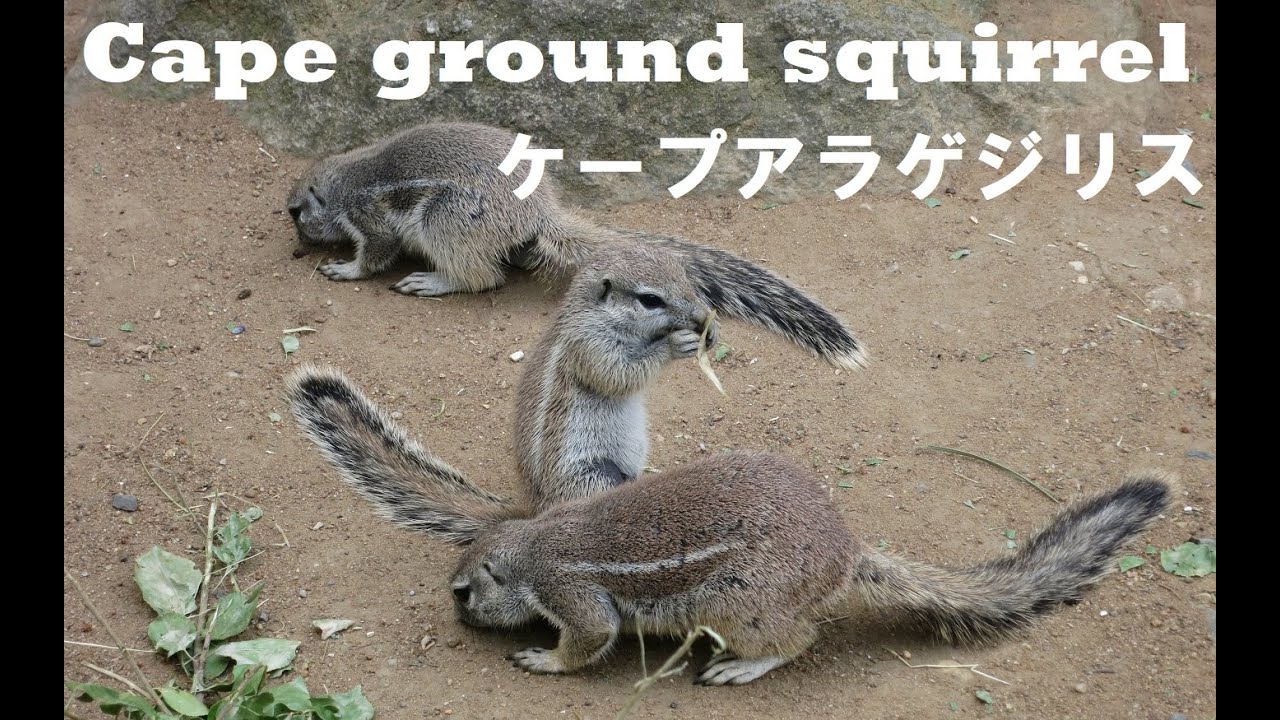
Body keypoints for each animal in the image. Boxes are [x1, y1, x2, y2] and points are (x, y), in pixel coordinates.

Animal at [286, 122, 868, 371]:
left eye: (296, 213)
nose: (294, 240)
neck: (345, 180)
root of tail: (538, 210)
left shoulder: (371, 219)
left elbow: (375, 254)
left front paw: (346, 269)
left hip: (445, 219)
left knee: (482, 275)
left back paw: (434, 279)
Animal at [287, 364, 1172, 686]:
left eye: (466, 592)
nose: (457, 617)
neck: (532, 542)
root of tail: (847, 550)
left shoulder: (572, 594)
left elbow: (588, 641)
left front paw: (542, 659)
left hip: (735, 598)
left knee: (798, 639)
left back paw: (741, 669)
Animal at [514, 243, 717, 512]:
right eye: (650, 300)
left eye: (684, 274)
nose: (700, 316)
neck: (593, 313)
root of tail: (540, 505)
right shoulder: (590, 345)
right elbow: (618, 375)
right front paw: (674, 344)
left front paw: (711, 327)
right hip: (594, 475)